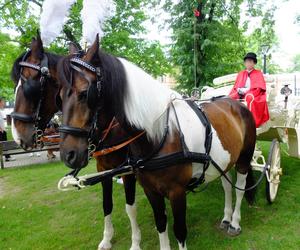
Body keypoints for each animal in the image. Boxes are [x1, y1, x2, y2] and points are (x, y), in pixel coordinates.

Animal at [11, 34, 142, 250]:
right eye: (60, 96)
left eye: (31, 86)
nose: (17, 136)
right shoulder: (103, 168)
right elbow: (107, 204)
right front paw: (107, 238)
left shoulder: (129, 168)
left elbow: (130, 207)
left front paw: (136, 242)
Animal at [58, 35, 255, 250]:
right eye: (59, 96)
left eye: (85, 93)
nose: (68, 155)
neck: (161, 135)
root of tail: (235, 102)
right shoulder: (150, 189)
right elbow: (160, 222)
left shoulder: (176, 191)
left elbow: (179, 230)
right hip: (224, 161)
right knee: (227, 186)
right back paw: (226, 218)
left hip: (244, 159)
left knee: (240, 188)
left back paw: (235, 222)